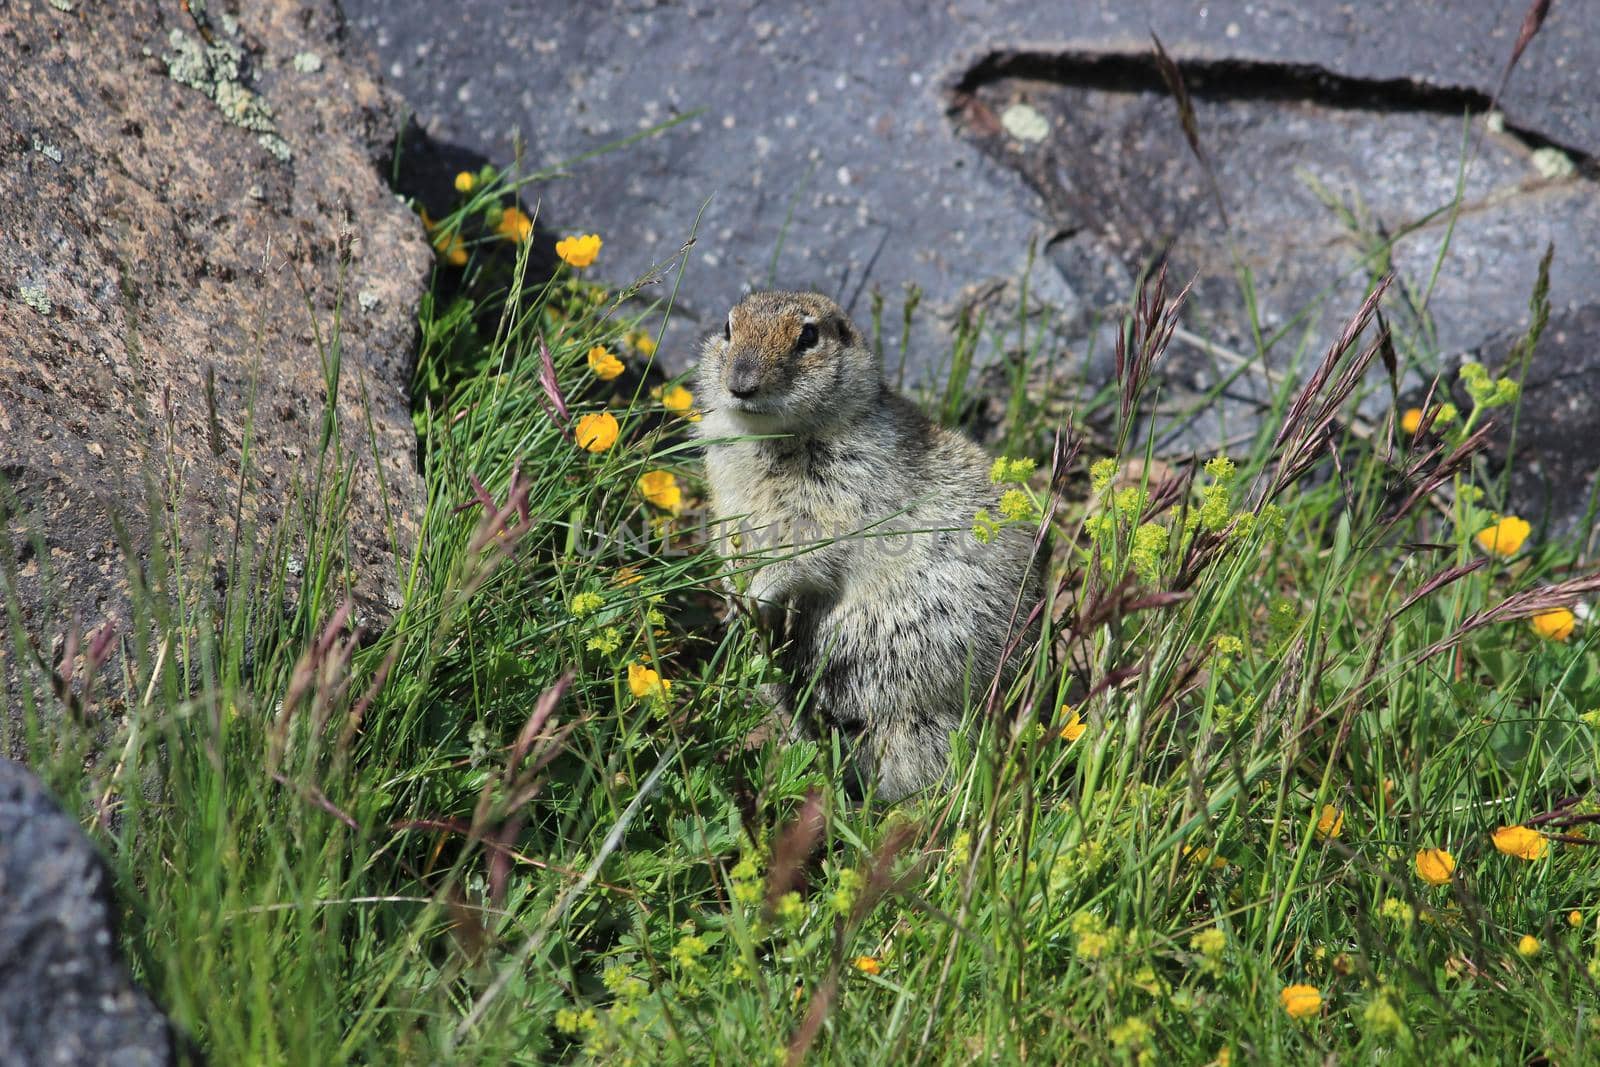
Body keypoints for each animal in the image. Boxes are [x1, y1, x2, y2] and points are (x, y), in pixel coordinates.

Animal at [694, 289, 1043, 799]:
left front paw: (758, 593)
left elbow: (809, 552)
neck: (774, 439)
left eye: (808, 336)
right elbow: (731, 539)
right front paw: (732, 595)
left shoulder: (841, 495)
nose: (740, 384)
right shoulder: (728, 494)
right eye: (727, 326)